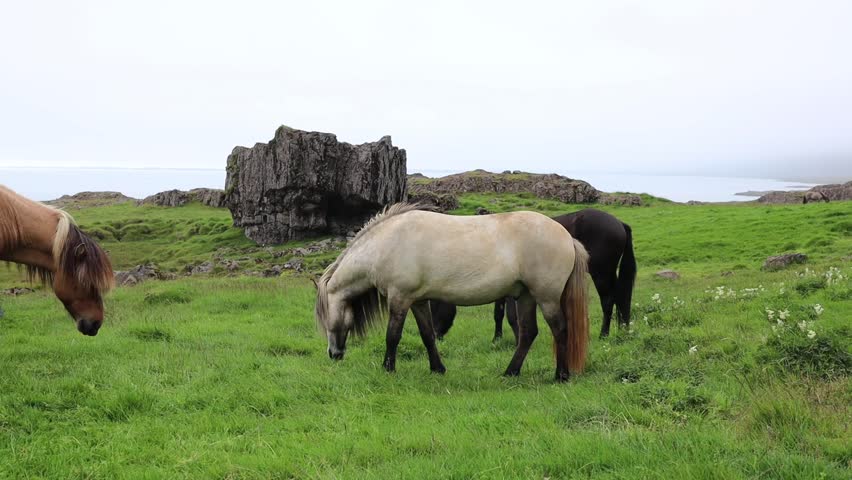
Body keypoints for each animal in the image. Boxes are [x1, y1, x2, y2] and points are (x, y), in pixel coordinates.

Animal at [314, 203, 590, 381]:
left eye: (325, 319)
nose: (333, 354)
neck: (386, 243)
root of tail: (568, 238)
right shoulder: (418, 301)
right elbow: (427, 335)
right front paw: (438, 369)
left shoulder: (400, 298)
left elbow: (392, 336)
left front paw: (388, 368)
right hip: (526, 297)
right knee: (528, 333)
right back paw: (510, 372)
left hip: (546, 297)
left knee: (560, 329)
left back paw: (561, 375)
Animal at [433, 208, 635, 340]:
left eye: (434, 305)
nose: (435, 336)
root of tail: (619, 223)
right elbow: (498, 313)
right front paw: (497, 338)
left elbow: (511, 316)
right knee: (620, 298)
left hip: (601, 273)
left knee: (608, 300)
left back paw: (603, 334)